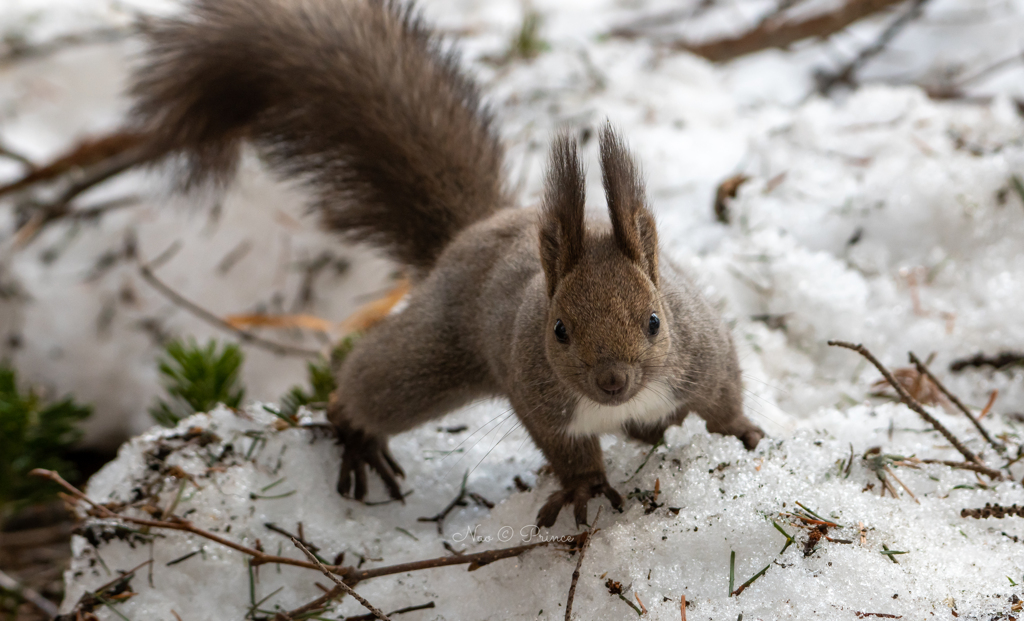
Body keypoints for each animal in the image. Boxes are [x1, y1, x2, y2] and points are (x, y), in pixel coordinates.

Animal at [128, 0, 765, 528]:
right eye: (559, 330)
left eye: (655, 322)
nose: (612, 381)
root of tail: (477, 230)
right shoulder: (536, 394)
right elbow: (566, 450)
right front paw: (583, 486)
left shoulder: (703, 354)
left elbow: (724, 396)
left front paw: (745, 435)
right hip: (431, 355)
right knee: (372, 382)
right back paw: (356, 433)